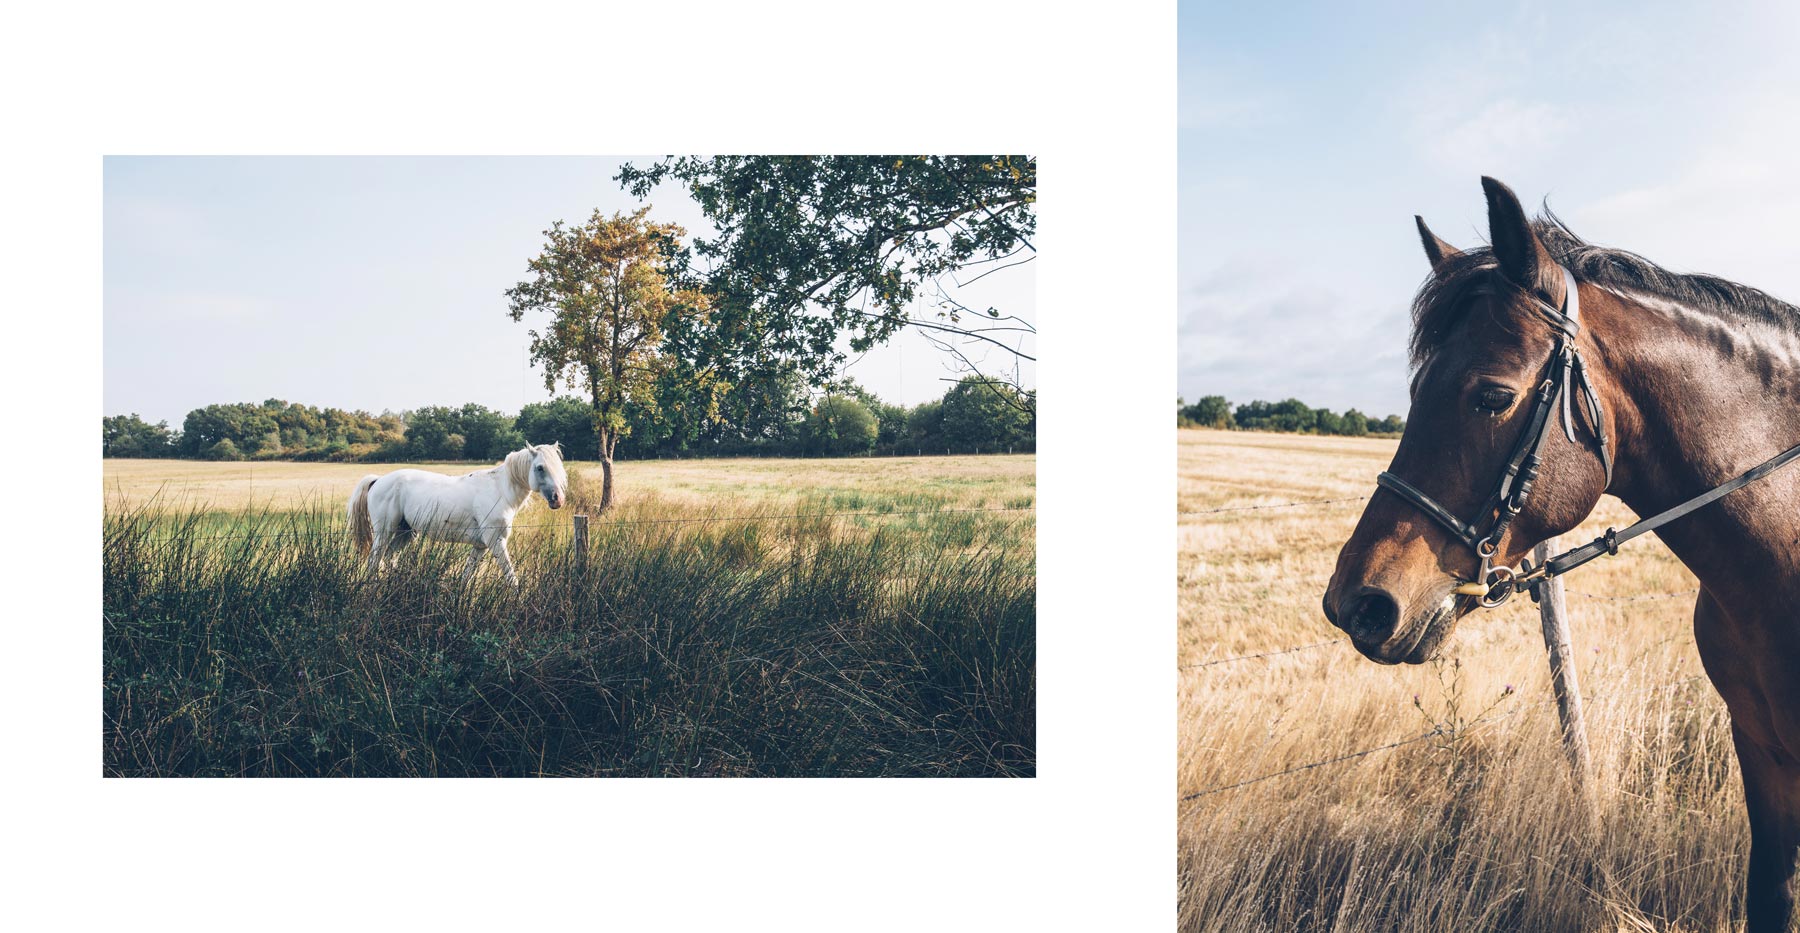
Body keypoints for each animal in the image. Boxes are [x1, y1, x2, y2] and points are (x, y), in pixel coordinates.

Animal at [345, 444, 565, 590]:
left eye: (559, 468)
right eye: (540, 467)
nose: (558, 499)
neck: (500, 490)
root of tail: (378, 480)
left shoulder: (481, 546)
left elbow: (466, 577)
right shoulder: (496, 542)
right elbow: (511, 578)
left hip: (404, 533)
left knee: (389, 558)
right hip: (384, 532)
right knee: (374, 561)